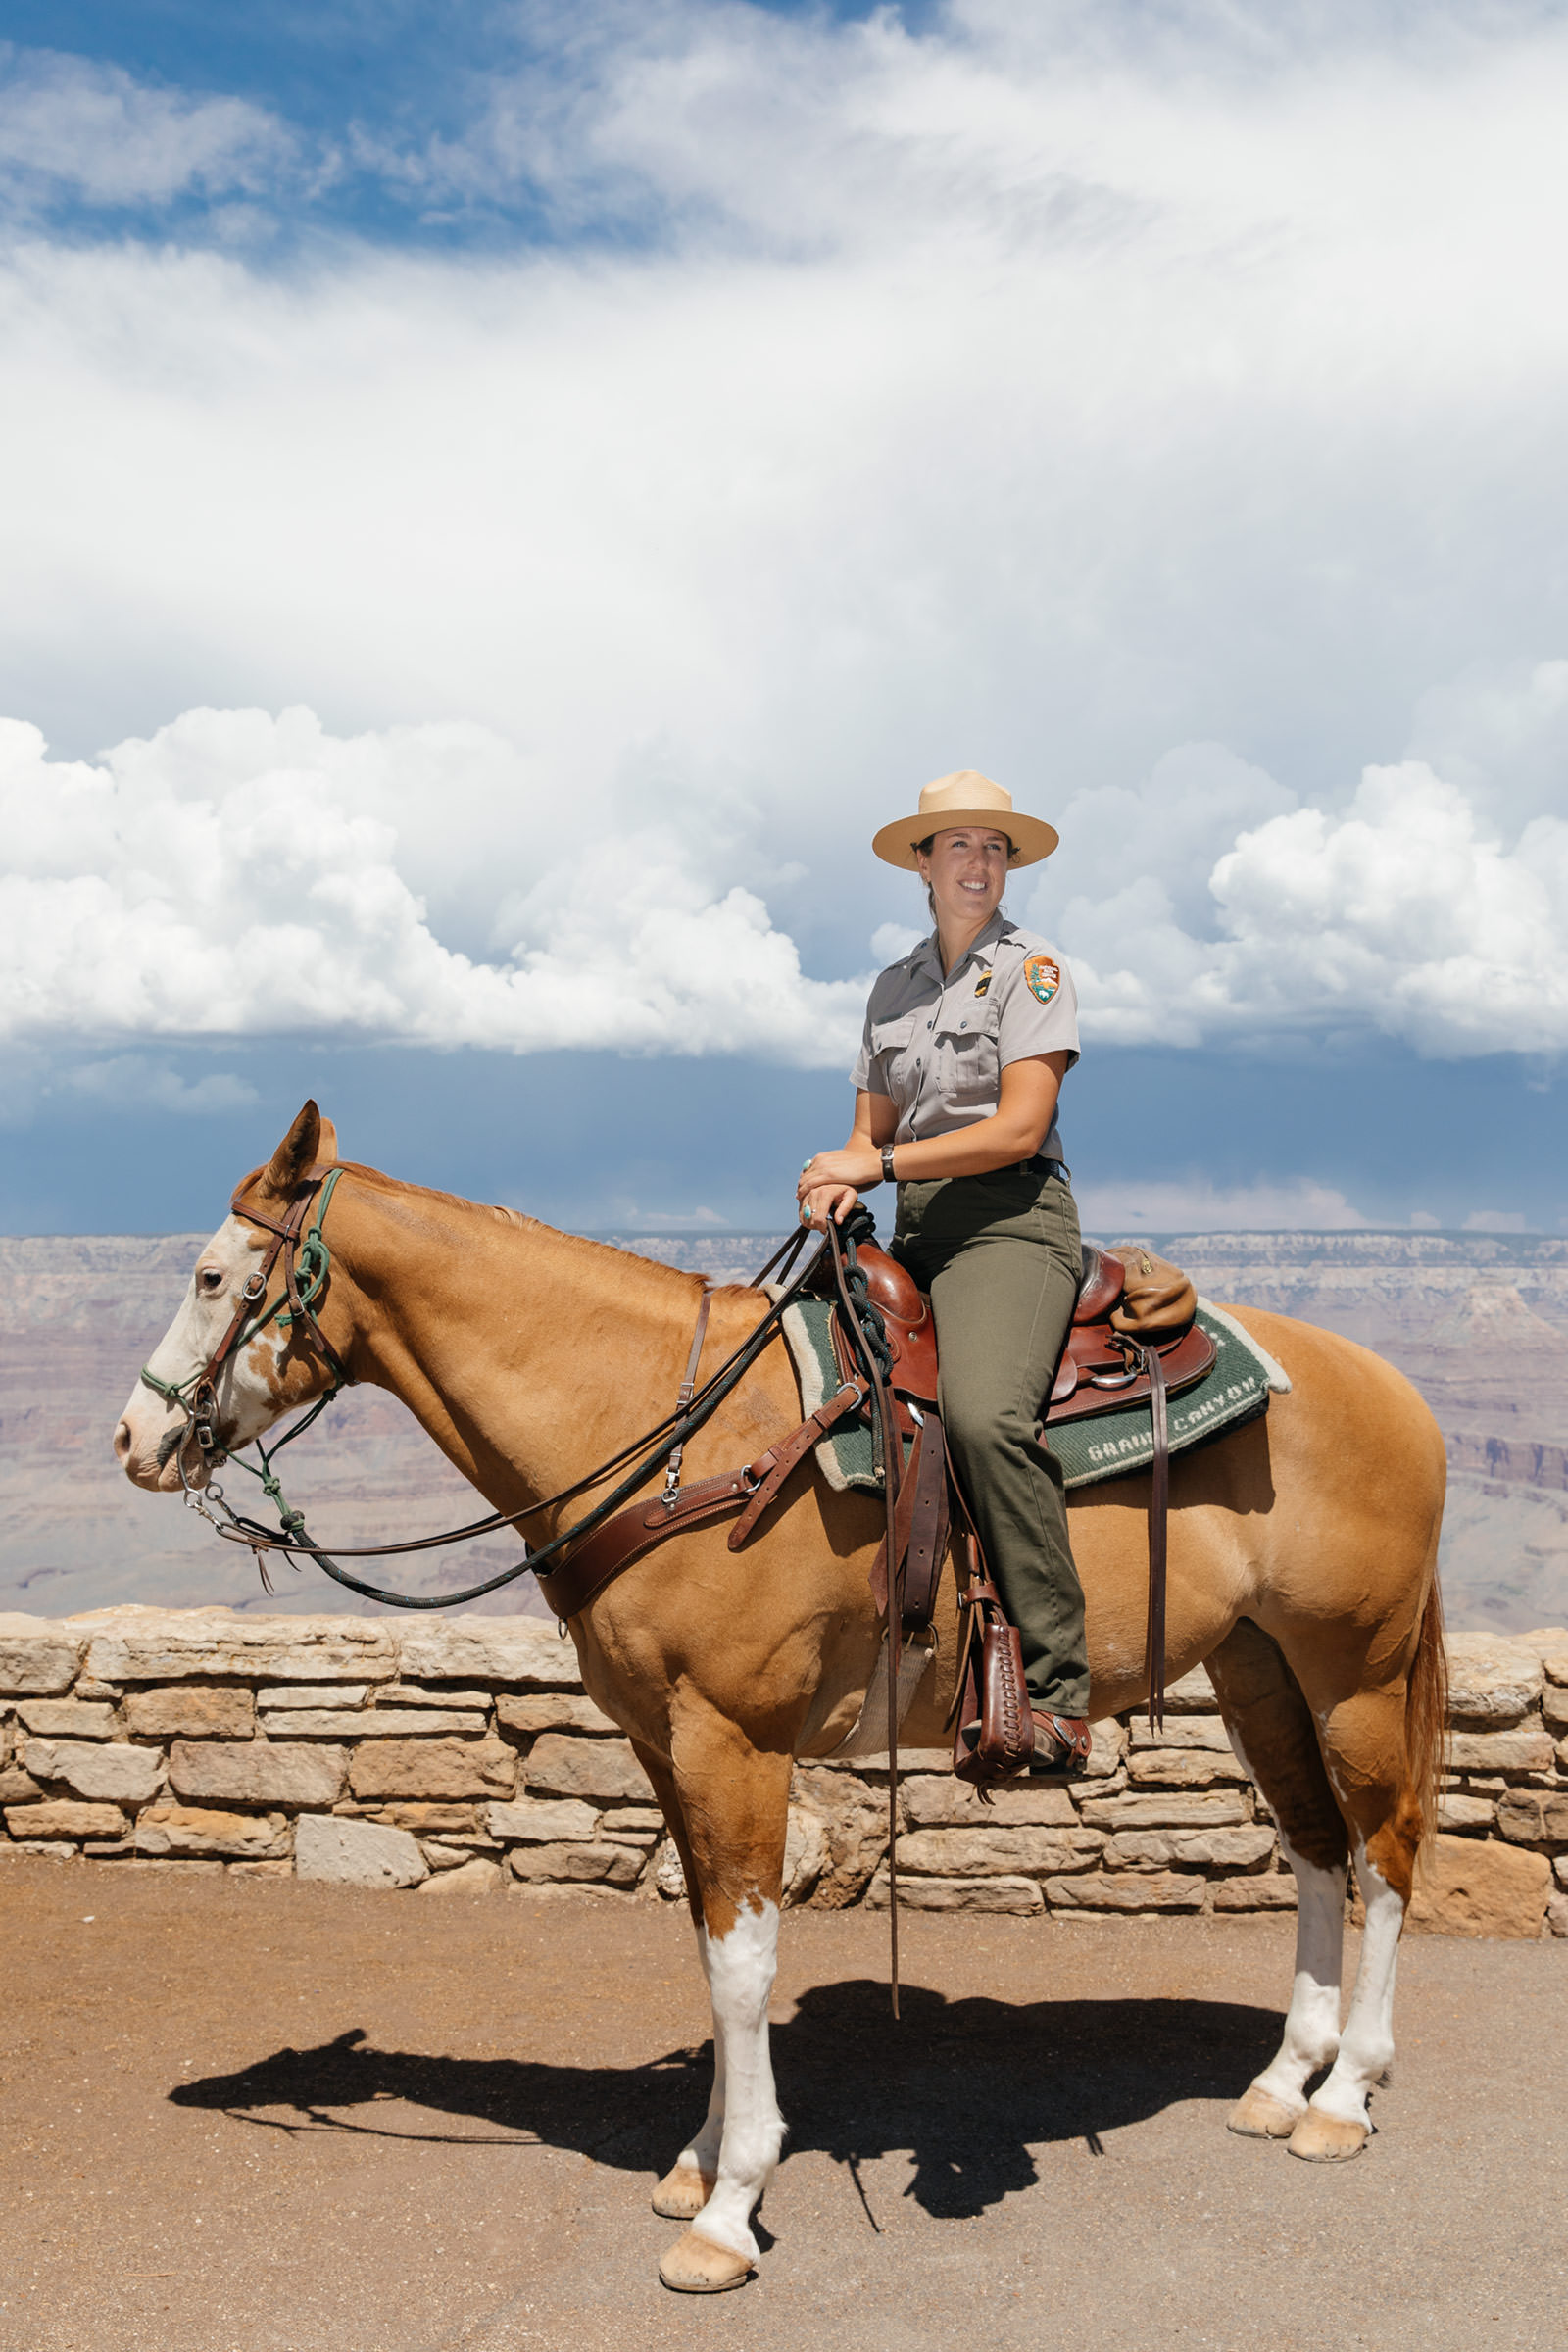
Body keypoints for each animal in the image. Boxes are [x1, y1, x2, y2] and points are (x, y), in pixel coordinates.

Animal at [116, 1105, 1457, 2295]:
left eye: (213, 1274)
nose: (134, 1441)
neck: (665, 1428)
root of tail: (1394, 1388)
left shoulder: (735, 1740)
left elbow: (743, 1961)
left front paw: (731, 2208)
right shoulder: (665, 1744)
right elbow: (707, 1939)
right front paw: (700, 2162)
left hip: (1354, 1666)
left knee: (1386, 1849)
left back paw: (1345, 2096)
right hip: (1257, 1665)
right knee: (1317, 1849)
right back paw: (1281, 2082)